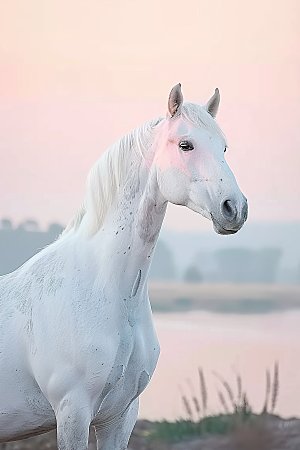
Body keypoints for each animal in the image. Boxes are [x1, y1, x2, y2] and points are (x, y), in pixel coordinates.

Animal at [0, 83, 247, 446]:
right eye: (185, 144)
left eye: (224, 148)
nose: (235, 208)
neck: (104, 291)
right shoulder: (72, 413)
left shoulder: (120, 416)